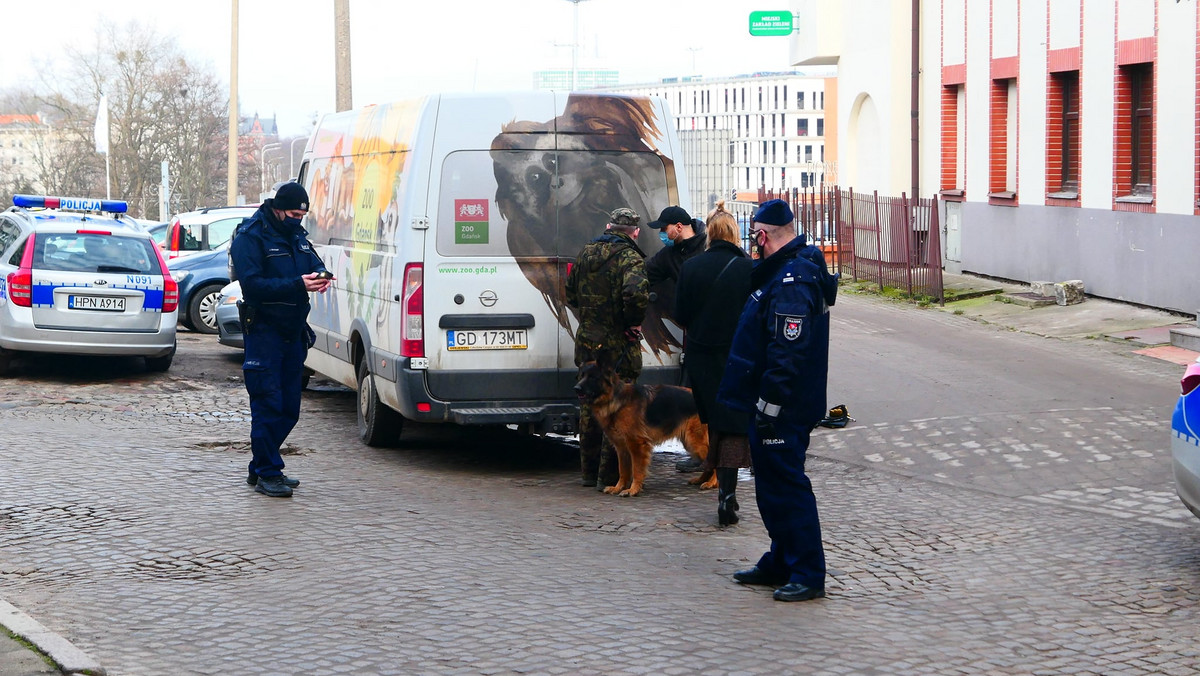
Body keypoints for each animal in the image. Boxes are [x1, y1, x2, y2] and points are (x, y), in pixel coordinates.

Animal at [571, 360, 710, 497]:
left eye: (593, 377)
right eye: (581, 376)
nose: (576, 389)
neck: (616, 398)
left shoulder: (636, 445)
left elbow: (637, 470)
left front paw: (633, 490)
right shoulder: (622, 448)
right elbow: (623, 471)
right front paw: (618, 487)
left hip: (694, 441)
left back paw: (710, 483)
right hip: (689, 442)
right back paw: (701, 480)